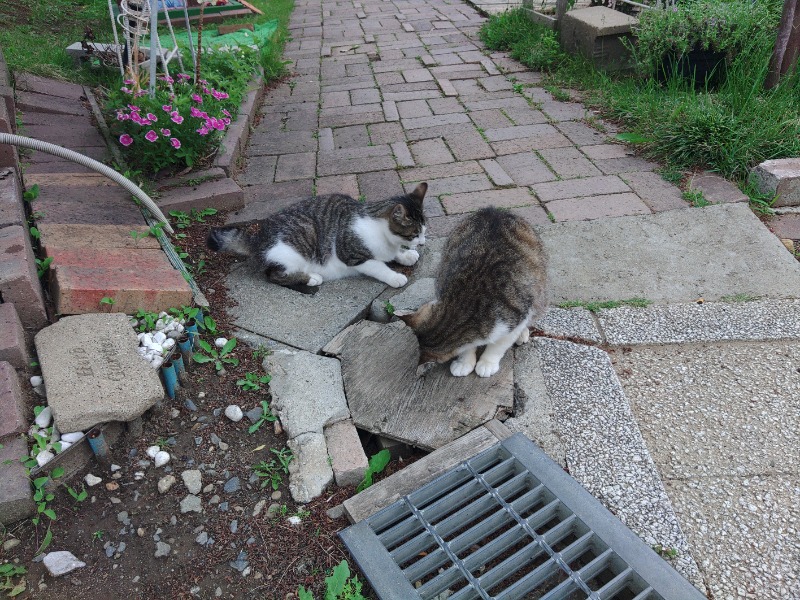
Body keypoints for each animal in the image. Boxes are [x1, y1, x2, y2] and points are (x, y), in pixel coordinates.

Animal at [209, 184, 428, 290]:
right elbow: (378, 266)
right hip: (296, 245)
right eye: (415, 233)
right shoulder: (351, 255)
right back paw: (311, 278)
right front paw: (394, 276)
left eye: (425, 230)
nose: (423, 242)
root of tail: (259, 237)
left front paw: (405, 255)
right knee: (274, 275)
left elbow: (393, 253)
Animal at [396, 206, 548, 376]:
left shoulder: (517, 317)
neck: (462, 304)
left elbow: (498, 345)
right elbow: (466, 348)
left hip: (540, 295)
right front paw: (464, 362)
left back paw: (522, 333)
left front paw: (487, 363)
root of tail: (494, 210)